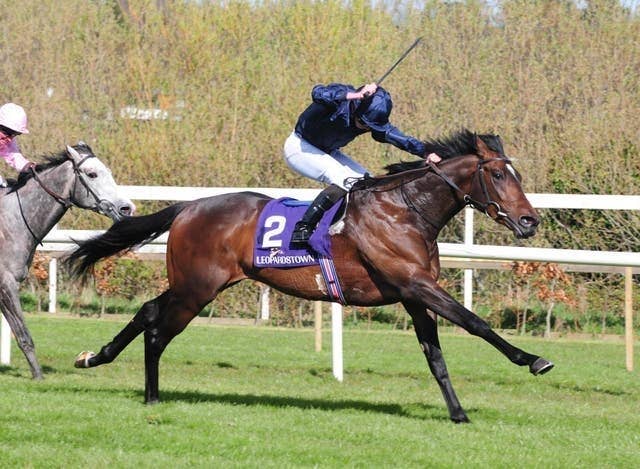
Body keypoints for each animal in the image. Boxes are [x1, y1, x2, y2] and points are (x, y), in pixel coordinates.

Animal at [0, 143, 135, 380]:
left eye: (108, 171)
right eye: (92, 174)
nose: (126, 208)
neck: (13, 220)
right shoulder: (6, 282)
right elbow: (24, 335)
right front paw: (38, 376)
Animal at [65, 129, 553, 423]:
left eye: (515, 173)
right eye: (497, 173)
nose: (529, 221)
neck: (405, 211)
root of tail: (189, 207)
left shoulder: (414, 294)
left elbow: (435, 356)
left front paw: (458, 413)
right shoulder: (416, 284)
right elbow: (475, 323)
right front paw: (532, 359)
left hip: (195, 284)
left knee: (148, 312)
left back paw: (95, 357)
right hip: (196, 289)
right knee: (157, 330)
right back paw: (151, 397)